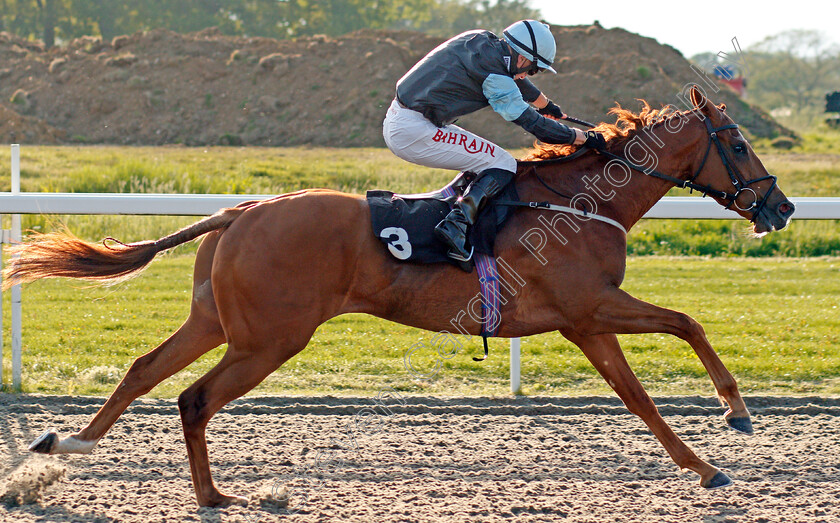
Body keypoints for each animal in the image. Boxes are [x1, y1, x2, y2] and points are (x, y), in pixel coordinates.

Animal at [4, 89, 796, 508]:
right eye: (738, 144)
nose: (781, 207)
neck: (577, 200)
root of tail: (242, 210)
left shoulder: (585, 323)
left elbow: (639, 396)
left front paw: (704, 462)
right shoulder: (590, 309)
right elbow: (686, 325)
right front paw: (735, 412)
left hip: (217, 321)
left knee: (144, 368)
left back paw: (66, 442)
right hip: (269, 337)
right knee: (194, 398)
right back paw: (212, 497)